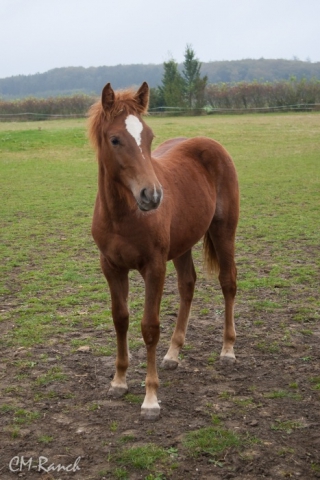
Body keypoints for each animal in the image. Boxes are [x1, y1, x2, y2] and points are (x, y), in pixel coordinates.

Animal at [89, 82, 239, 420]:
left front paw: (151, 399)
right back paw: (173, 353)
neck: (122, 215)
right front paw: (119, 381)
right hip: (183, 244)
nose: (153, 195)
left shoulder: (154, 267)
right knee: (188, 285)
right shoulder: (111, 267)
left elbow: (149, 327)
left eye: (149, 136)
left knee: (228, 283)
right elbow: (120, 318)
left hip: (223, 232)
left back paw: (227, 349)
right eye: (115, 139)